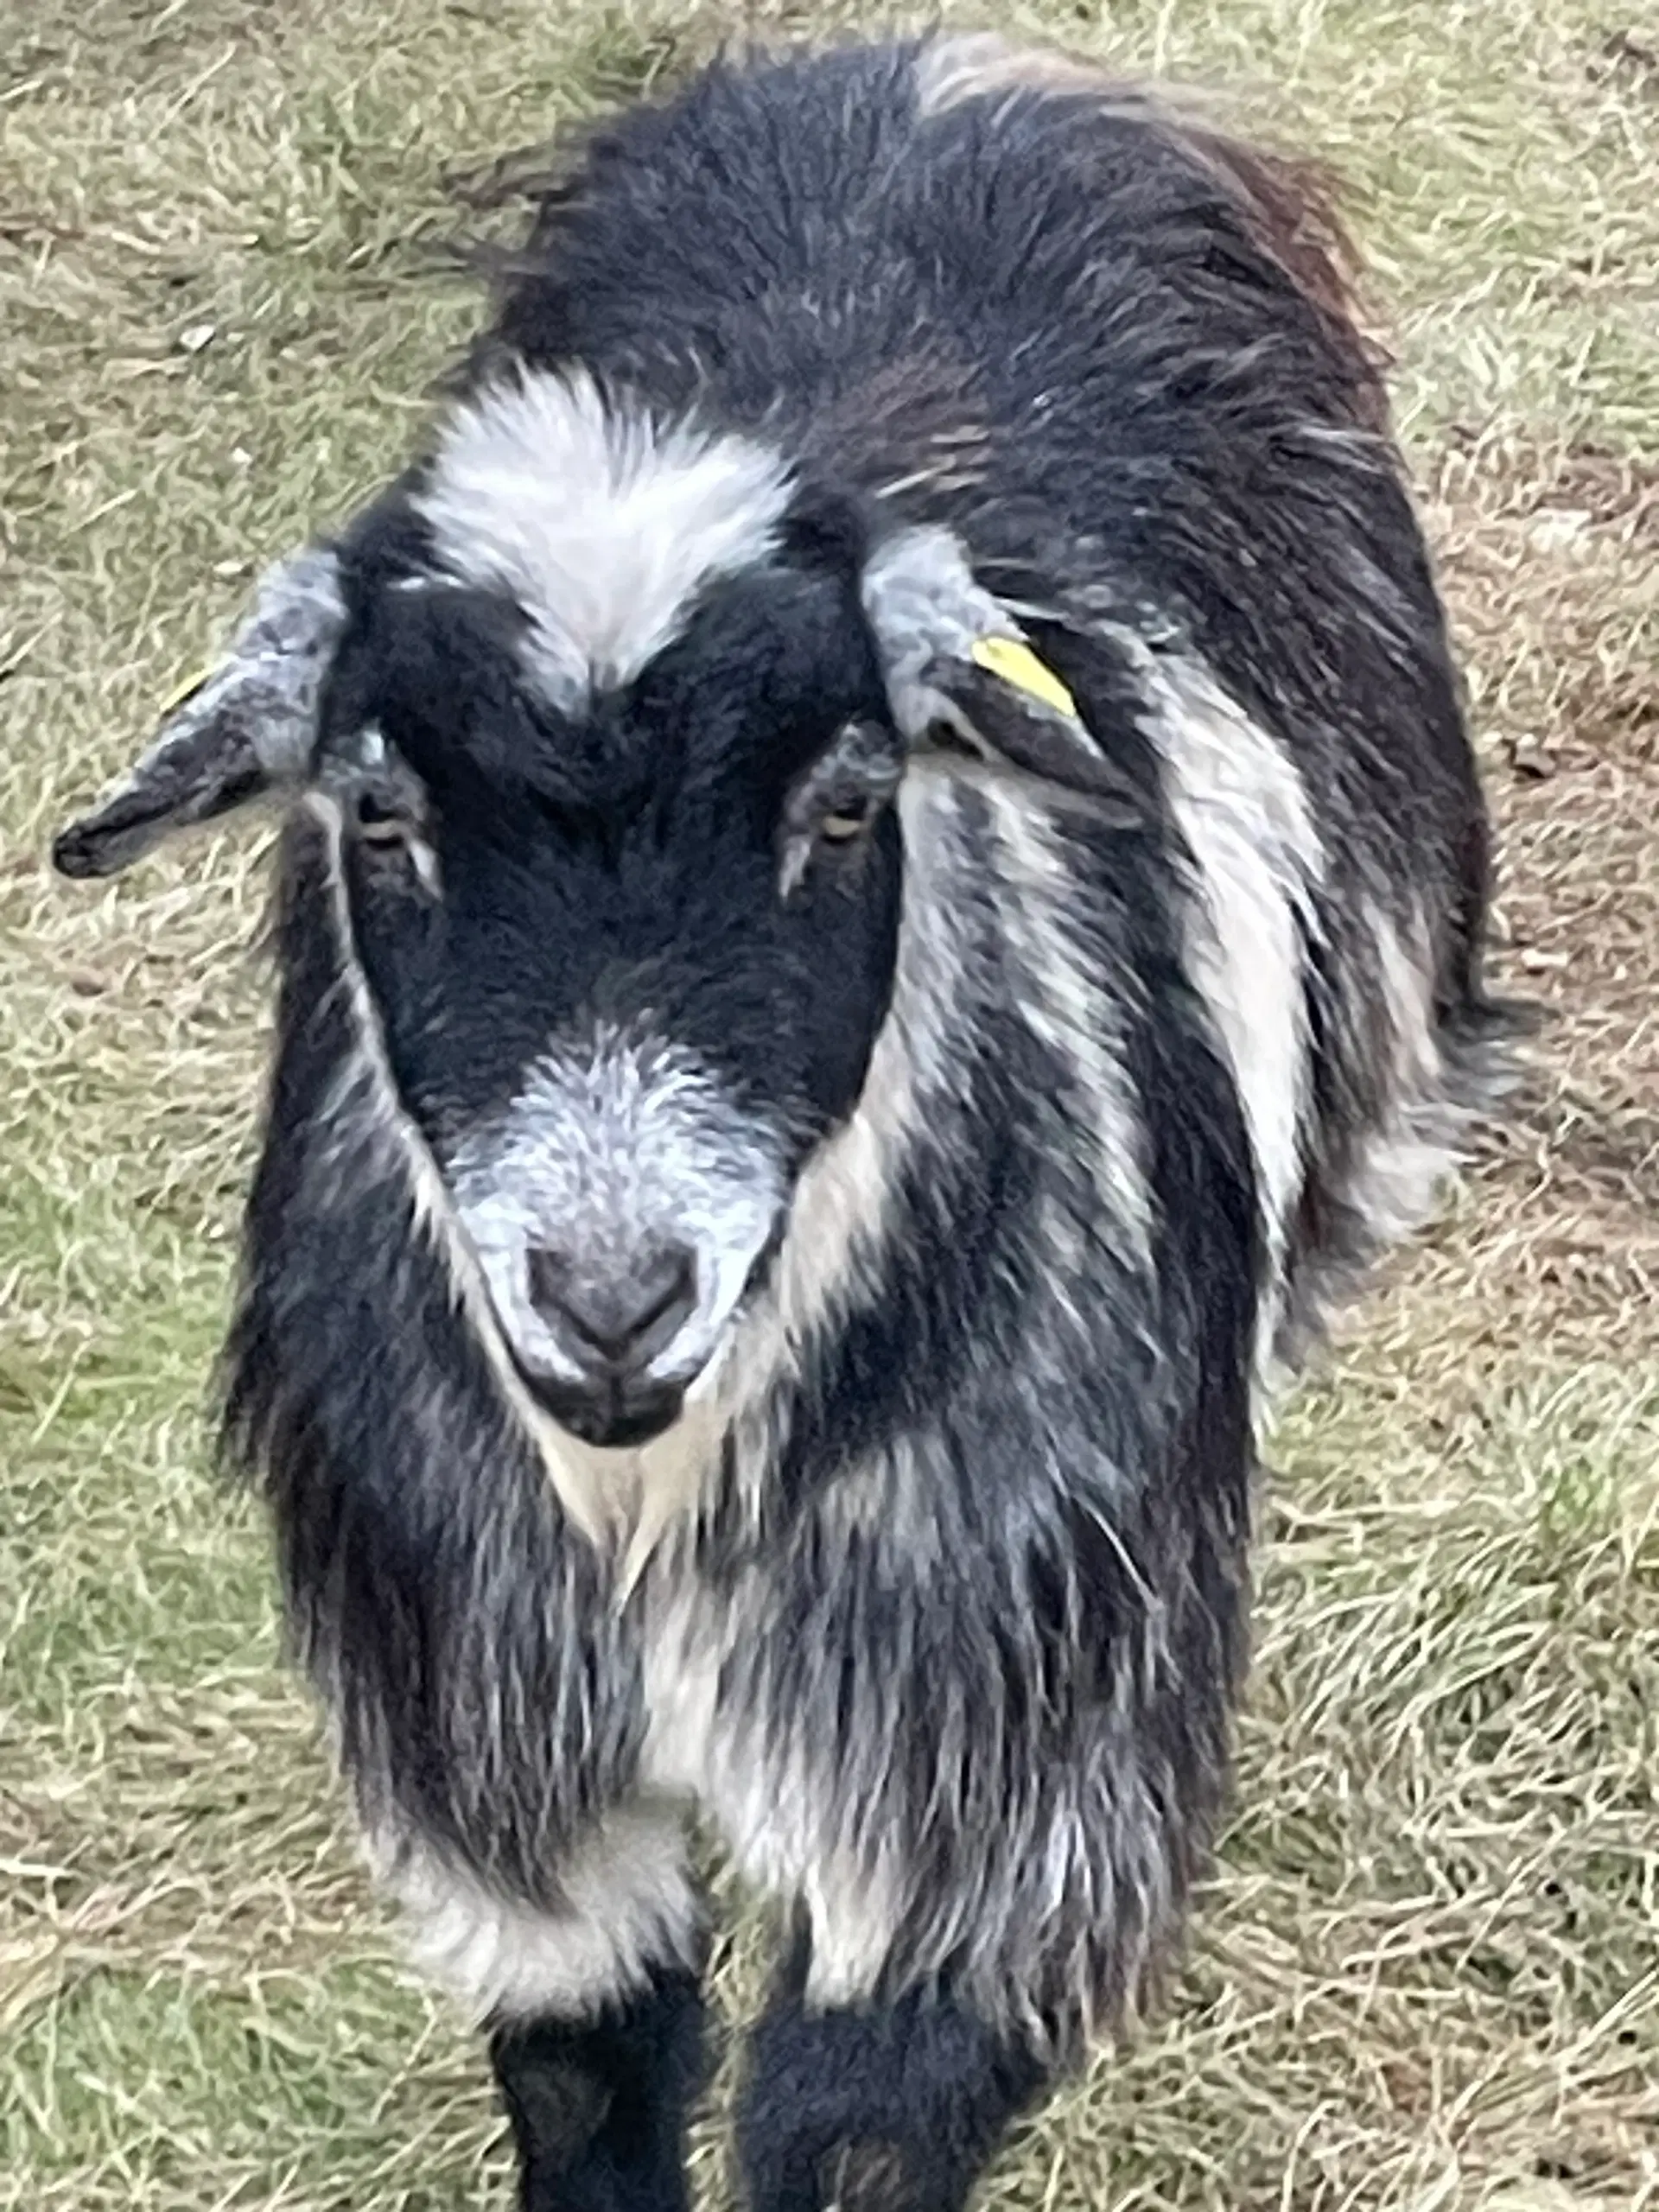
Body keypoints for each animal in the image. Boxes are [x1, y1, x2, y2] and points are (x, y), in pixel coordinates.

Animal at [55, 35, 1522, 2212]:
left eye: (845, 800)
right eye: (378, 810)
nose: (609, 1295)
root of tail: (939, 62)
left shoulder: (986, 1778)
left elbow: (849, 2122)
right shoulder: (498, 1755)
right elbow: (588, 2082)